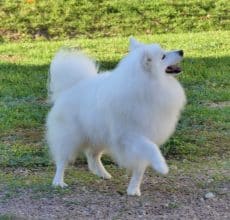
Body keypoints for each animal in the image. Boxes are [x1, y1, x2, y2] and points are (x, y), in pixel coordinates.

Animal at [46, 37, 187, 196]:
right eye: (163, 56)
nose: (181, 51)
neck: (149, 85)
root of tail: (70, 87)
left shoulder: (144, 135)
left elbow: (140, 168)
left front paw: (133, 189)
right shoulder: (130, 135)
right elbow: (151, 148)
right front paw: (161, 166)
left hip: (100, 135)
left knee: (92, 155)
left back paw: (103, 174)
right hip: (70, 136)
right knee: (62, 160)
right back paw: (58, 182)